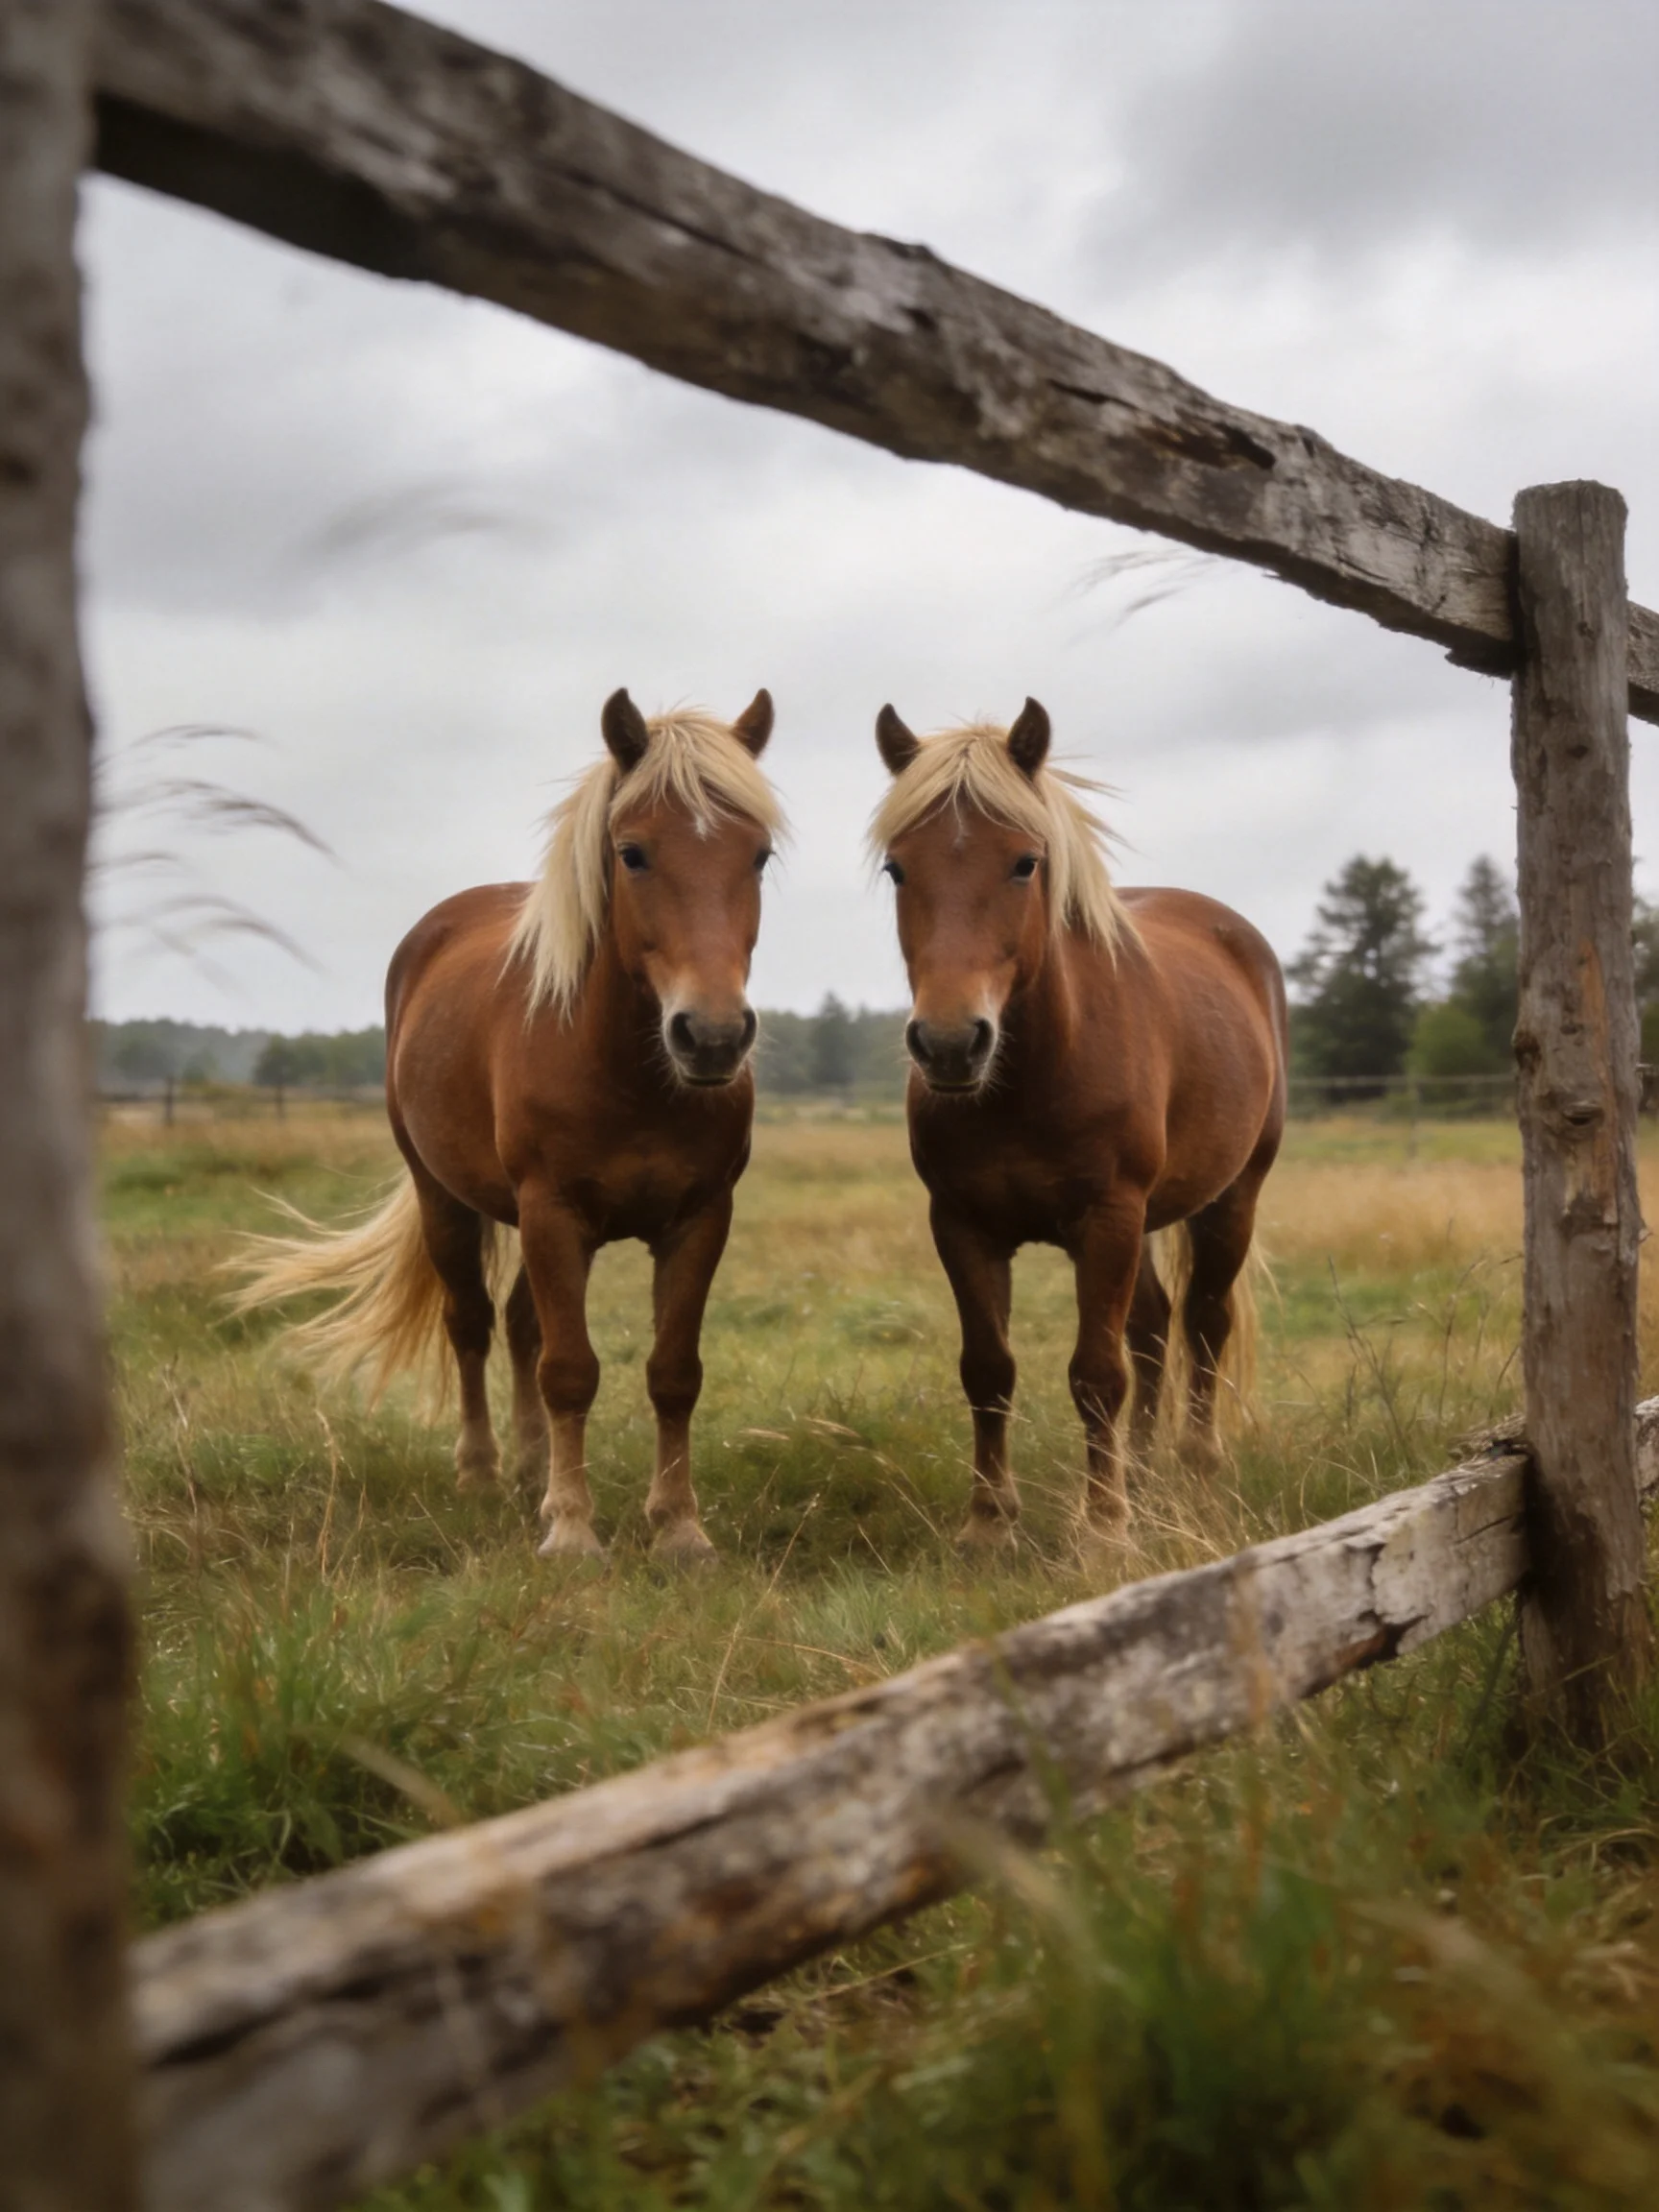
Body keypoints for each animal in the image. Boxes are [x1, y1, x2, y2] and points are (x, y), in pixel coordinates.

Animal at [234, 689, 784, 1562]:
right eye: (632, 853)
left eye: (758, 855)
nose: (712, 1036)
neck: (629, 1076)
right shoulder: (551, 1212)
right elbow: (570, 1370)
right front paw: (573, 1532)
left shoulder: (699, 1218)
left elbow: (672, 1372)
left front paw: (678, 1528)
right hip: (448, 1201)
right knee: (472, 1324)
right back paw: (484, 1473)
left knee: (524, 1326)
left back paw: (533, 1473)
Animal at [869, 698, 1287, 1549]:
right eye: (897, 868)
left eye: (1025, 863)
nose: (951, 1043)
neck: (1029, 1081)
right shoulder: (961, 1224)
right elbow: (988, 1369)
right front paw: (989, 1522)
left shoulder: (1108, 1218)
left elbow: (1096, 1373)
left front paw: (1103, 1529)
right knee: (1156, 1328)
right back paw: (1145, 1472)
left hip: (1231, 1198)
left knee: (1205, 1322)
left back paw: (1196, 1467)